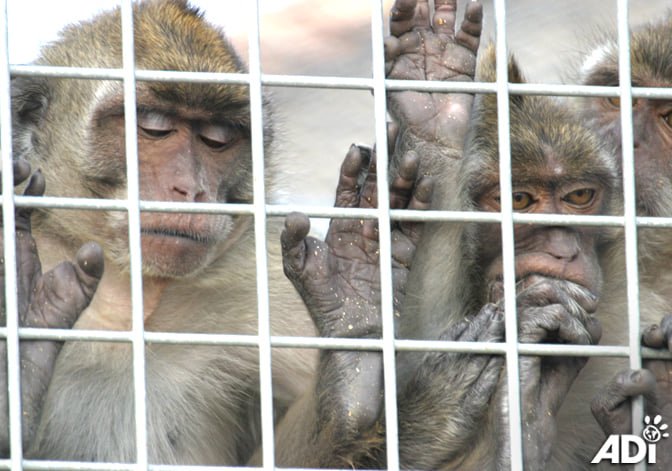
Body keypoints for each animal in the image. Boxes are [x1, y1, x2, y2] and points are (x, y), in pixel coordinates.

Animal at [3, 0, 431, 465]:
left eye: (217, 139)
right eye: (153, 126)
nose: (190, 189)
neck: (131, 296)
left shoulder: (263, 281)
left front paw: (356, 324)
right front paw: (24, 341)